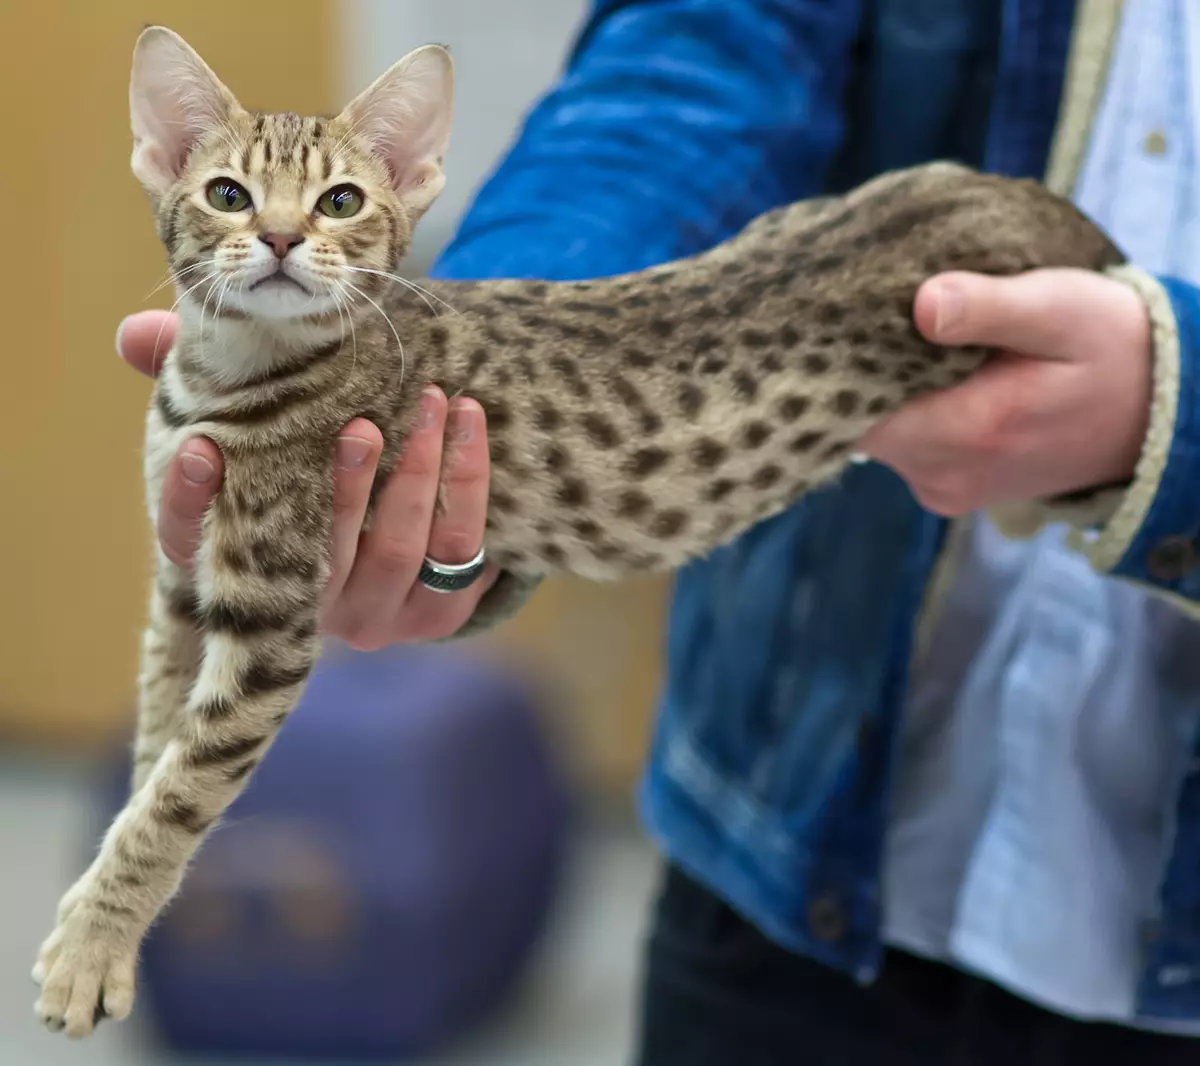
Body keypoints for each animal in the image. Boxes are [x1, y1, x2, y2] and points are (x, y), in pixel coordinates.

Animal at [35, 24, 1123, 1037]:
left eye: (339, 202)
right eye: (226, 193)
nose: (278, 239)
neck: (229, 375)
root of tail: (1019, 201)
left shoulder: (270, 616)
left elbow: (179, 790)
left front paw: (91, 943)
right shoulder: (182, 579)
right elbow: (154, 744)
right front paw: (124, 933)